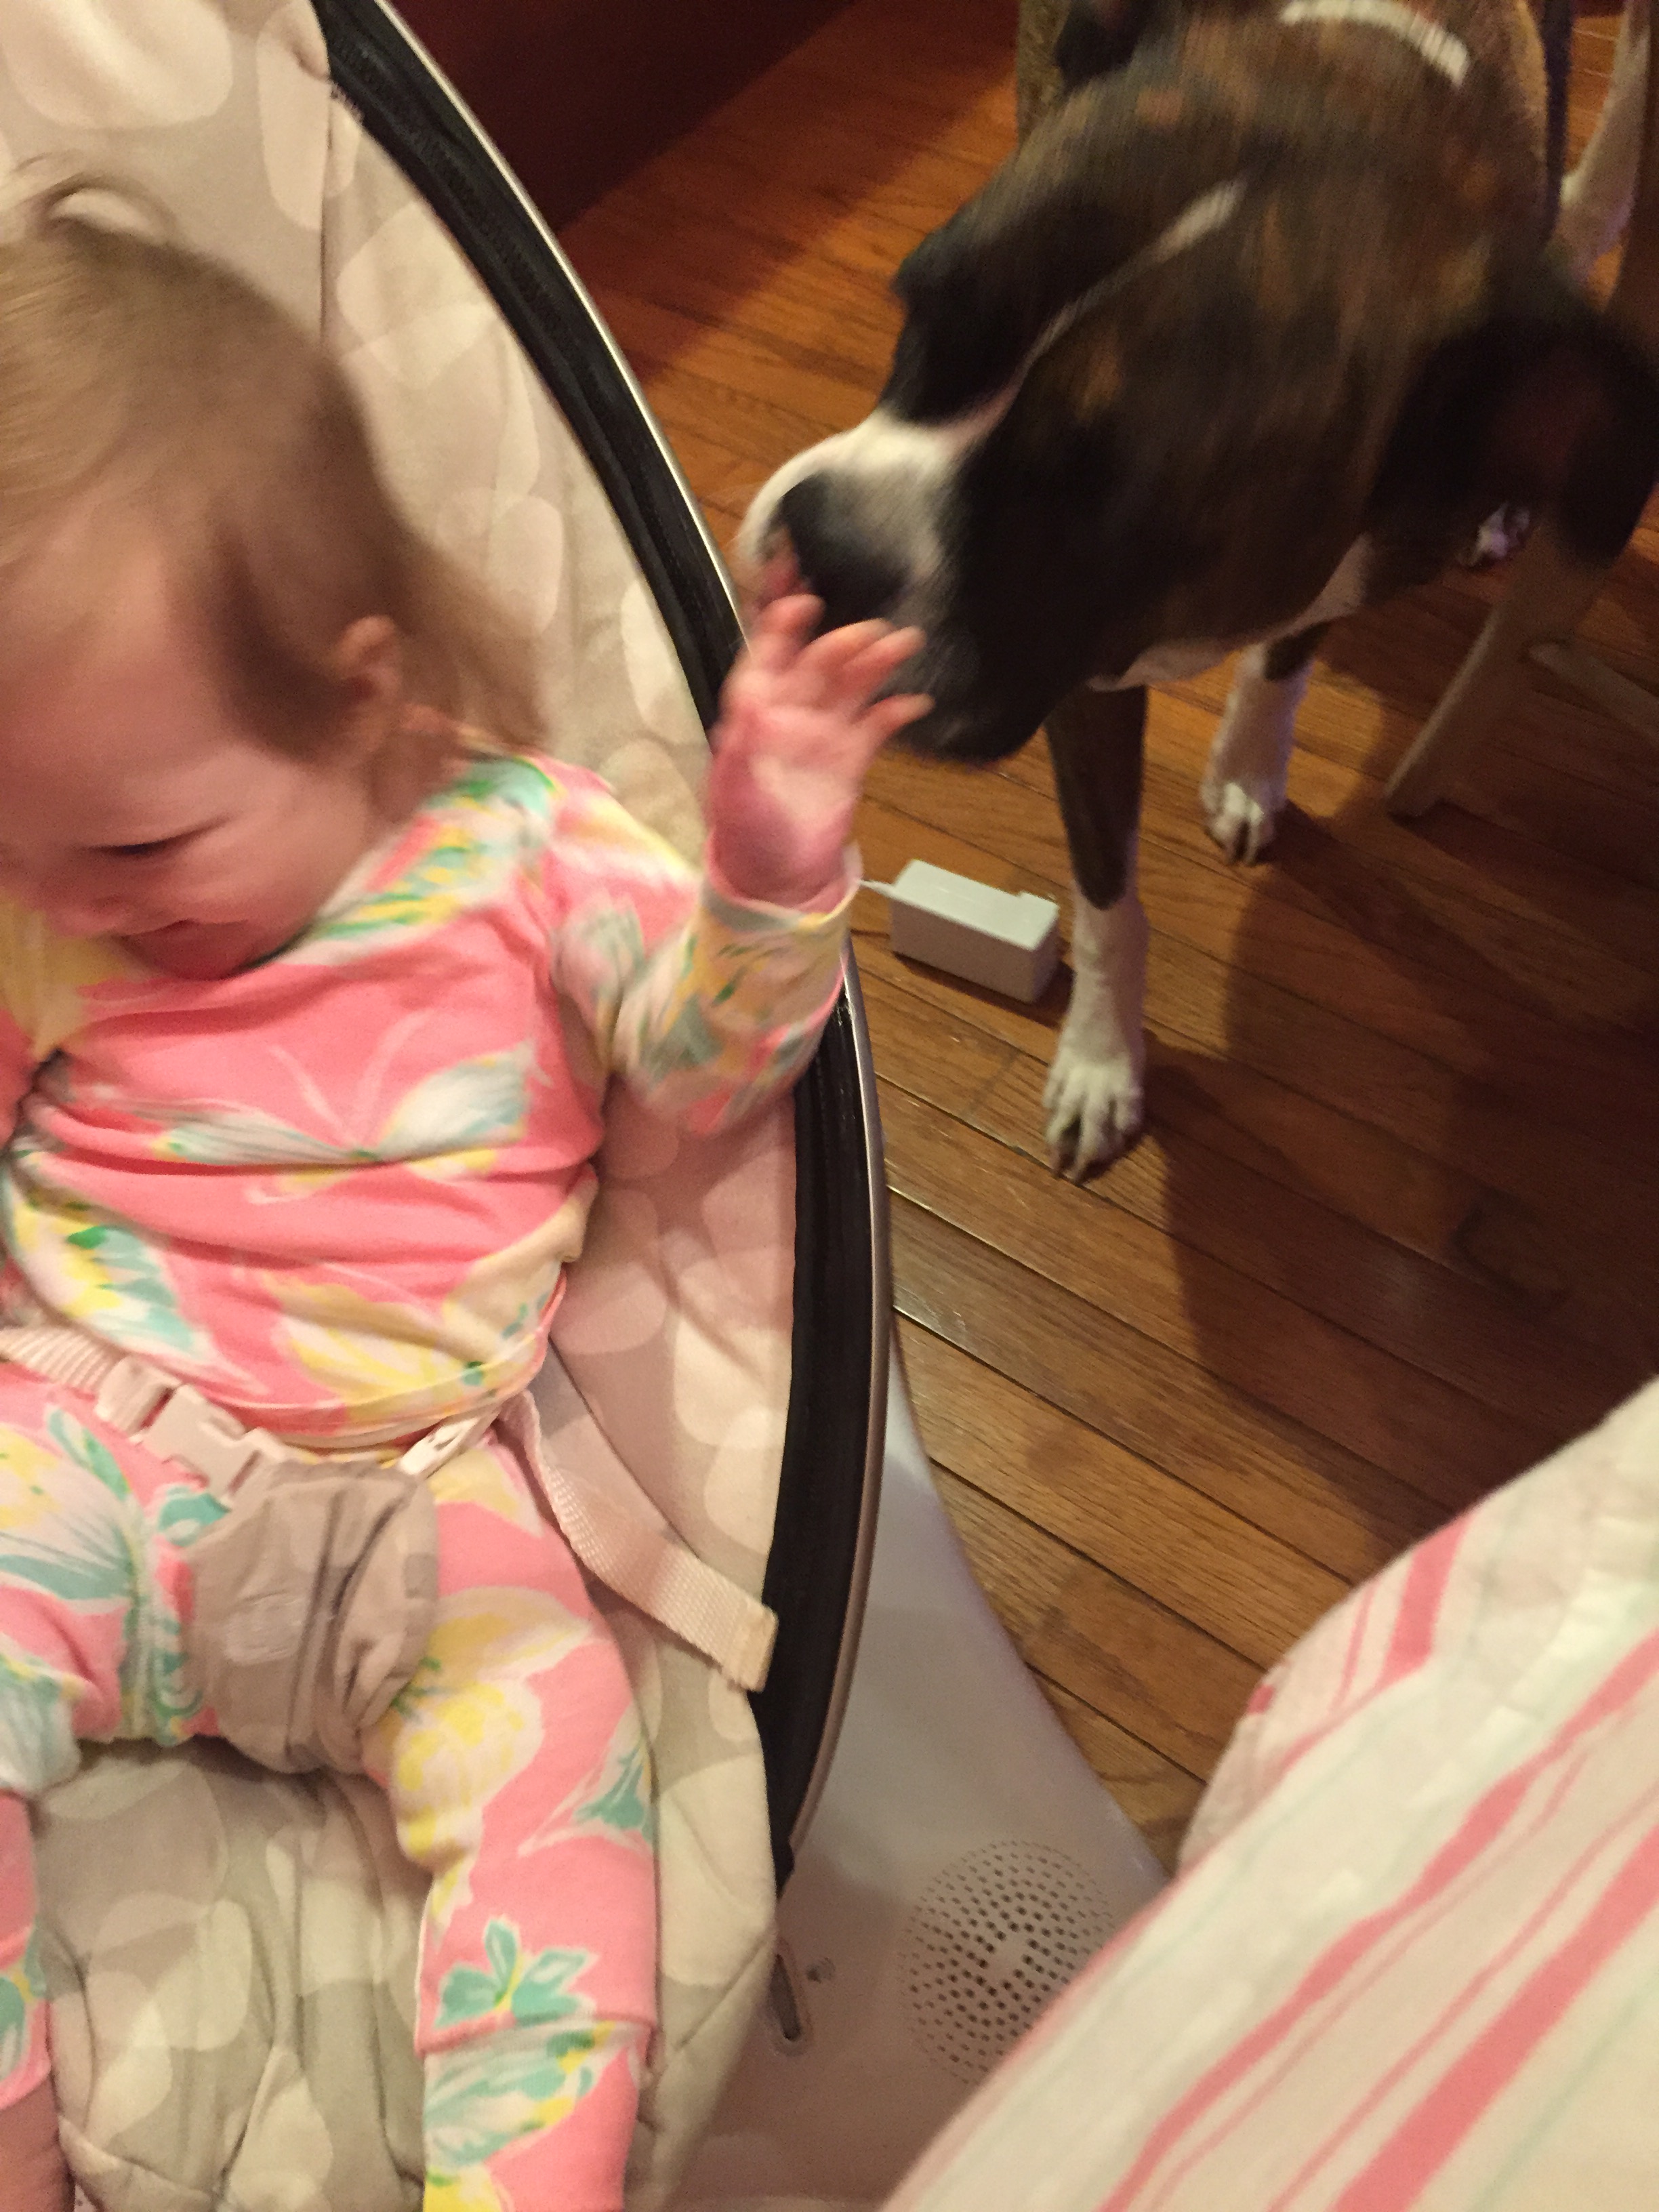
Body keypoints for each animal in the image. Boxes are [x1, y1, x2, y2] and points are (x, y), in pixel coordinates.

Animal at [736, 0, 1659, 1178]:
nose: (827, 549)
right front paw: (1102, 1059)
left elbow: (1287, 655)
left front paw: (1248, 770)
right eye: (920, 314)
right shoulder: (1084, 695)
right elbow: (1107, 899)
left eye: (1106, 502)